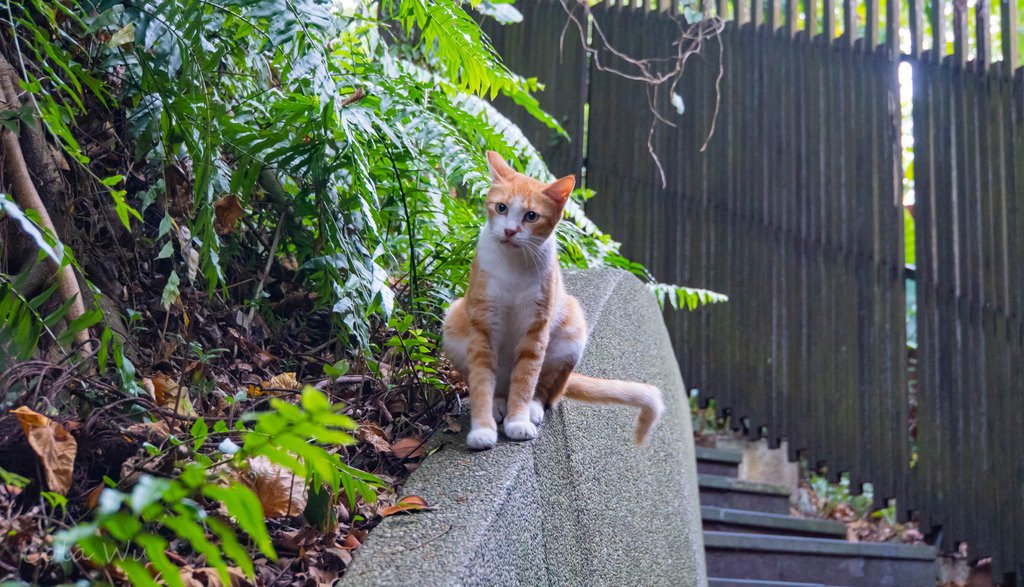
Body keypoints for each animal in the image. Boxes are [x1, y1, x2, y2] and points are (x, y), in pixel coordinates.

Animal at [440, 150, 663, 448]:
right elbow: (481, 383)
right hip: (454, 322)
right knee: (497, 387)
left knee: (546, 391)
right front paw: (483, 429)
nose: (510, 231)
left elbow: (525, 381)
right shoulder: (483, 328)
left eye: (531, 216)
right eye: (501, 208)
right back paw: (499, 404)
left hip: (571, 329)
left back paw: (531, 409)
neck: (513, 266)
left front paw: (518, 420)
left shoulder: (536, 330)